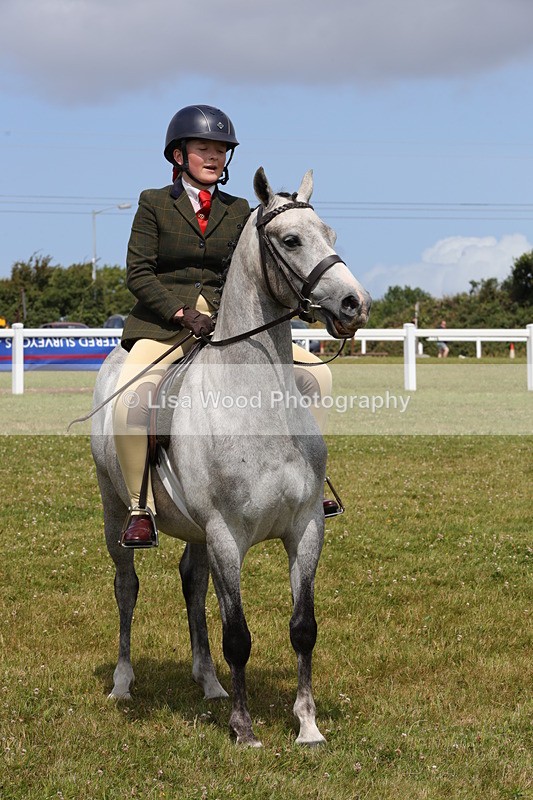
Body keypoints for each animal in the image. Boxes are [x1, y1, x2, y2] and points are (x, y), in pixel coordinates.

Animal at [91, 167, 371, 747]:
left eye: (330, 233)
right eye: (292, 240)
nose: (354, 304)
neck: (256, 406)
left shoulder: (305, 528)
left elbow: (302, 628)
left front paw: (307, 726)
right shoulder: (226, 534)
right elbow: (238, 634)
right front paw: (244, 730)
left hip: (198, 532)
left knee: (194, 586)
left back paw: (211, 684)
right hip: (115, 510)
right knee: (127, 587)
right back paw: (124, 683)